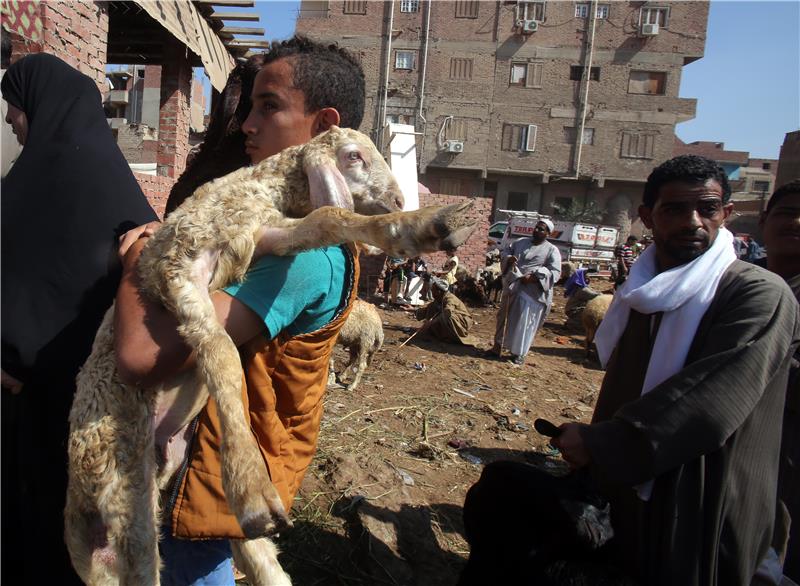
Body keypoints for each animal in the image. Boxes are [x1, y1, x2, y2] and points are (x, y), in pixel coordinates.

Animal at [65, 125, 478, 580]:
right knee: (142, 556)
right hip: (123, 486)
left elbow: (329, 219)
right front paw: (251, 490)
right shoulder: (179, 269)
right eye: (354, 156)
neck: (254, 191)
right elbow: (222, 355)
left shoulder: (264, 233)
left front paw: (432, 224)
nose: (400, 201)